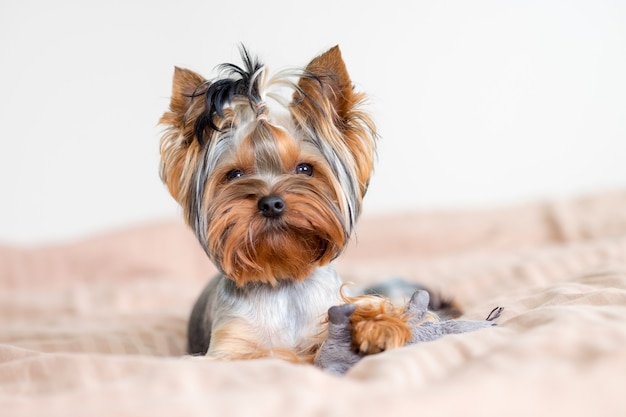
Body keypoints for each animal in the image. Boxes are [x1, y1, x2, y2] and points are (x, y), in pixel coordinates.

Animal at [158, 45, 412, 362]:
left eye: (305, 169)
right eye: (235, 174)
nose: (271, 204)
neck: (283, 280)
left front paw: (380, 327)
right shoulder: (227, 348)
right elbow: (275, 355)